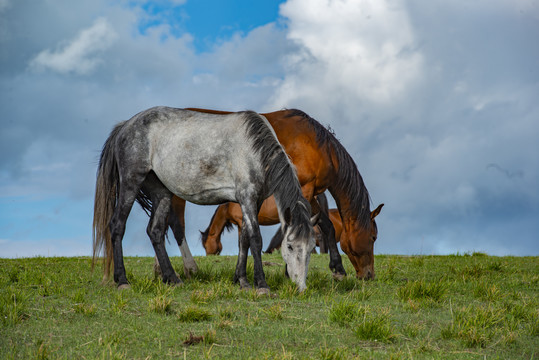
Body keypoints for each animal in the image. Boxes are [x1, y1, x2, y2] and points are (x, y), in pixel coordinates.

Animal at [94, 107, 316, 292]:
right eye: (289, 246)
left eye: (311, 248)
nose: (301, 287)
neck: (253, 149)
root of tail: (126, 125)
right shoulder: (247, 198)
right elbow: (255, 239)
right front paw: (261, 284)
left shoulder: (254, 201)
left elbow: (244, 240)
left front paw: (241, 280)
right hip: (130, 183)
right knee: (117, 225)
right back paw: (122, 280)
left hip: (161, 192)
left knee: (155, 231)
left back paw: (172, 279)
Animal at [171, 108, 382, 280]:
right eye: (373, 237)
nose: (369, 275)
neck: (318, 146)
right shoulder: (304, 190)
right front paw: (289, 272)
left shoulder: (311, 192)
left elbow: (328, 226)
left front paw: (338, 268)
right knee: (176, 226)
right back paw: (186, 269)